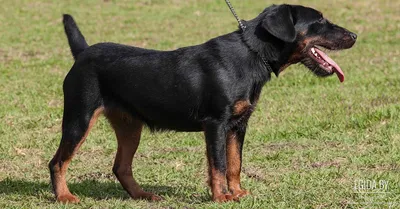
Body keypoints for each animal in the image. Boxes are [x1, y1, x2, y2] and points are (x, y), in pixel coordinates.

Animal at [48, 3, 358, 202]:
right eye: (319, 21)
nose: (355, 35)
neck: (252, 54)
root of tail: (83, 53)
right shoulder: (216, 124)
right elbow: (218, 164)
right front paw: (221, 197)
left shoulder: (238, 125)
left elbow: (235, 163)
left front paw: (237, 192)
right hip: (79, 118)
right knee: (58, 162)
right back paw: (65, 196)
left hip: (129, 126)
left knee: (121, 167)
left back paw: (143, 195)